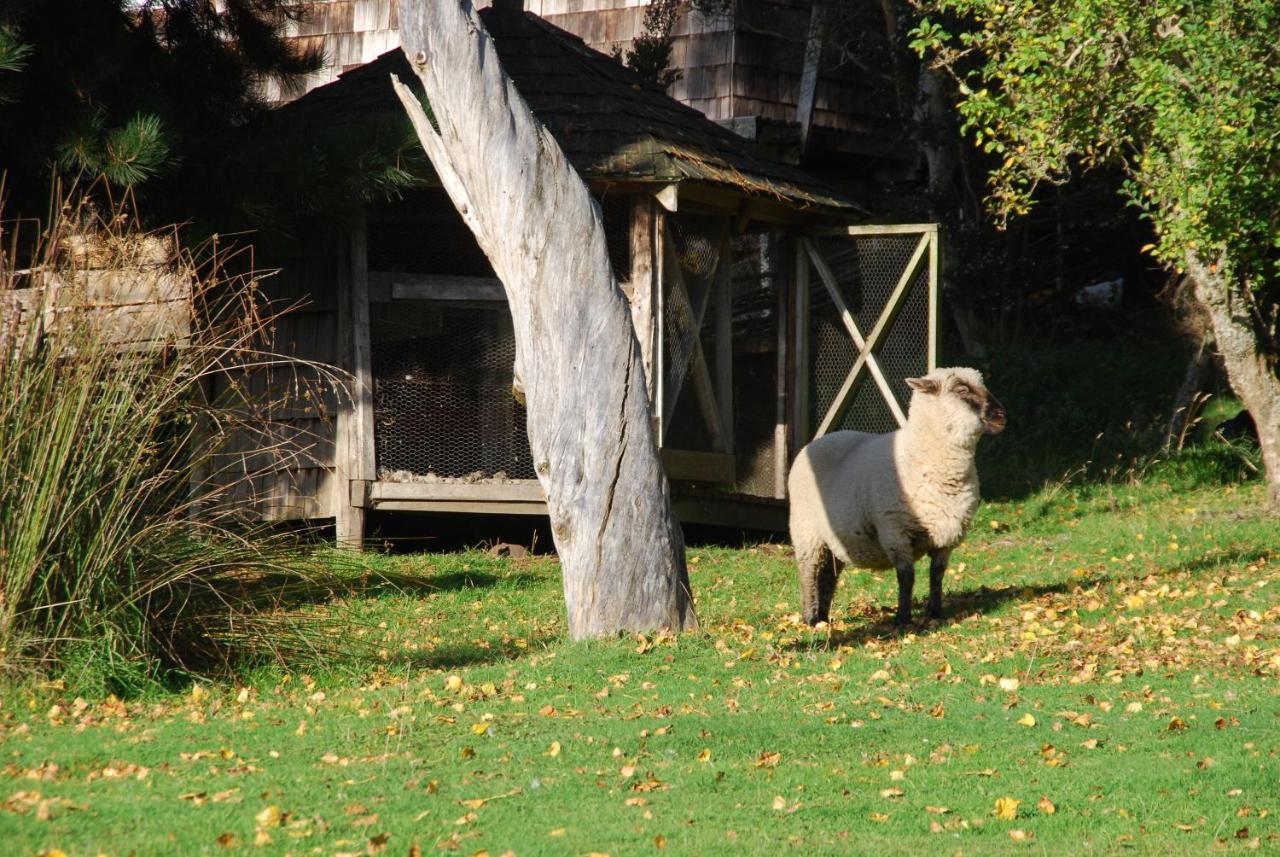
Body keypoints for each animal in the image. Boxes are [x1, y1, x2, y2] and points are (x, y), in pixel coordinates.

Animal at [783, 365, 1003, 626]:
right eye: (961, 389)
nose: (1001, 415)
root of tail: (813, 444)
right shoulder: (895, 530)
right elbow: (906, 577)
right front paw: (903, 618)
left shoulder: (949, 535)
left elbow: (937, 574)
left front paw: (935, 613)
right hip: (806, 530)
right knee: (808, 572)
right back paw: (809, 618)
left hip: (834, 536)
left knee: (827, 575)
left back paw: (823, 619)